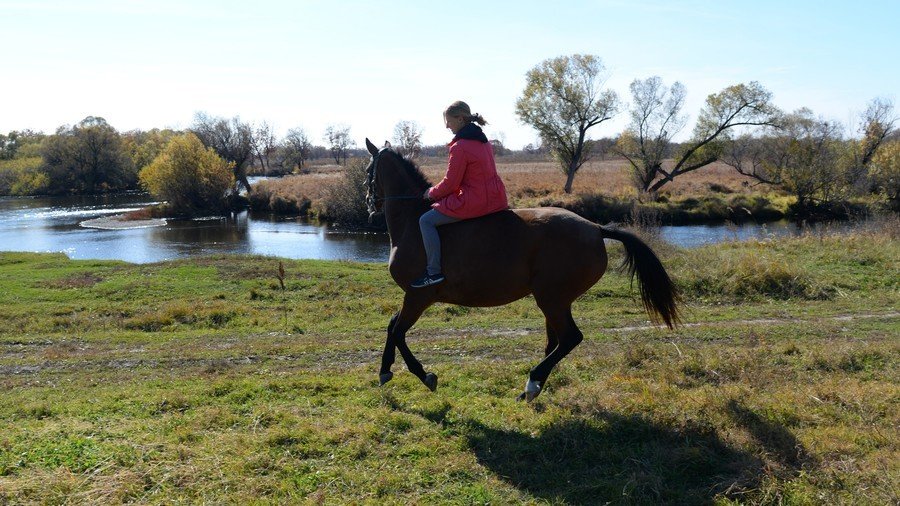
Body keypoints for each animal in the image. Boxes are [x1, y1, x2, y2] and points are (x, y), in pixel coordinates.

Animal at [362, 137, 680, 400]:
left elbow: (398, 331)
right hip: (555, 301)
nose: (369, 207)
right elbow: (392, 326)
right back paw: (533, 388)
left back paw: (532, 382)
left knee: (569, 338)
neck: (413, 222)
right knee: (556, 342)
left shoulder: (418, 296)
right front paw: (387, 370)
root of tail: (595, 227)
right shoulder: (414, 297)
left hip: (552, 299)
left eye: (367, 171)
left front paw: (420, 374)